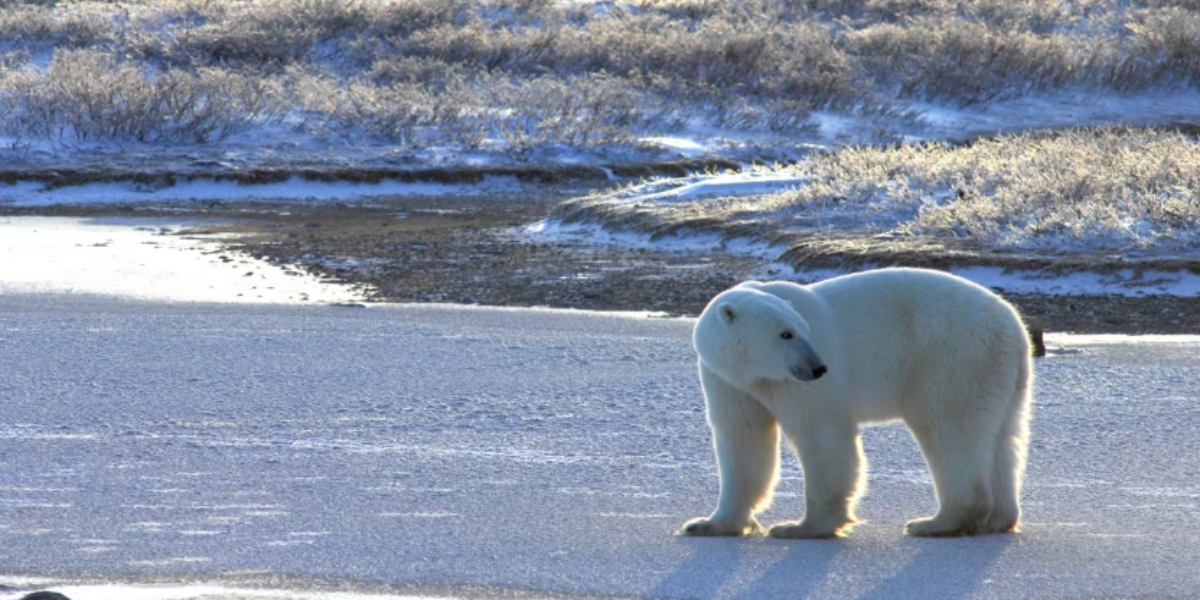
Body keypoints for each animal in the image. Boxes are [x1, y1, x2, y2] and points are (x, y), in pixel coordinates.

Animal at [681, 268, 1036, 540]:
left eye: (803, 330)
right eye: (785, 334)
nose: (818, 368)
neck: (755, 372)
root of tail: (1015, 325)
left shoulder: (795, 385)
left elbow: (822, 433)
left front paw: (801, 527)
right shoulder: (730, 381)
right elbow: (742, 440)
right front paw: (709, 524)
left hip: (952, 359)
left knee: (949, 430)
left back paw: (935, 522)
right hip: (999, 374)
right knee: (1003, 439)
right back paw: (997, 519)